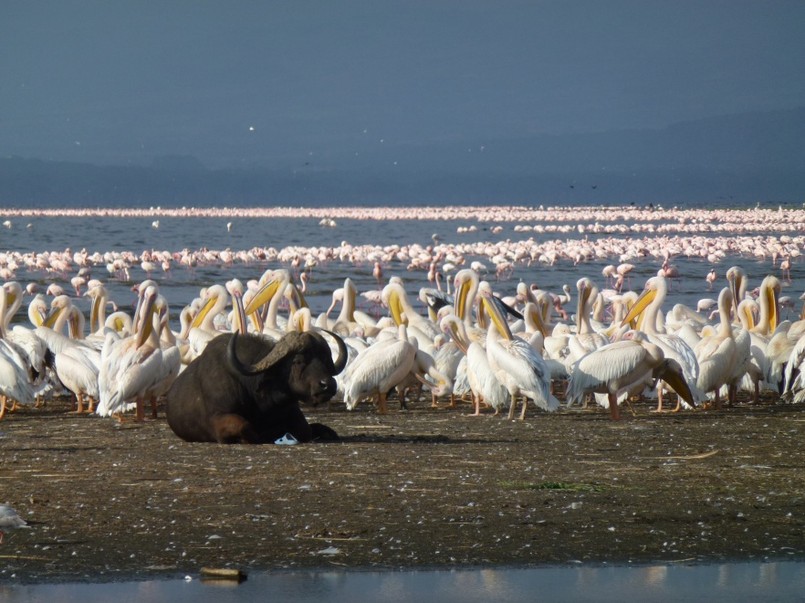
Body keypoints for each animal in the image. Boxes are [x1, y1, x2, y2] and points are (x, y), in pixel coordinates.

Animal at [166, 330, 346, 444]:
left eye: (325, 359)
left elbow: (304, 430)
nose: (328, 384)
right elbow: (245, 427)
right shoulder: (218, 417)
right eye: (298, 361)